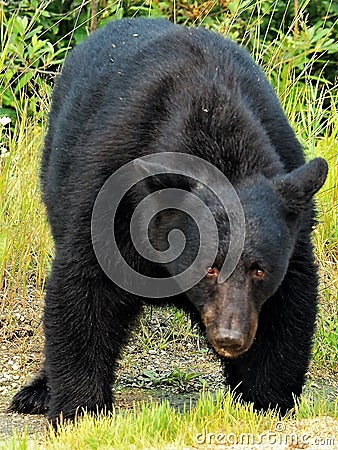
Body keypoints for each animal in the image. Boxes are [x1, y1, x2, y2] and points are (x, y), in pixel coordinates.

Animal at [9, 18, 328, 426]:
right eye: (209, 267)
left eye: (259, 270)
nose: (230, 337)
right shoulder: (108, 193)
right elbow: (85, 288)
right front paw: (80, 409)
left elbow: (288, 304)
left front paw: (265, 399)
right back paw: (36, 392)